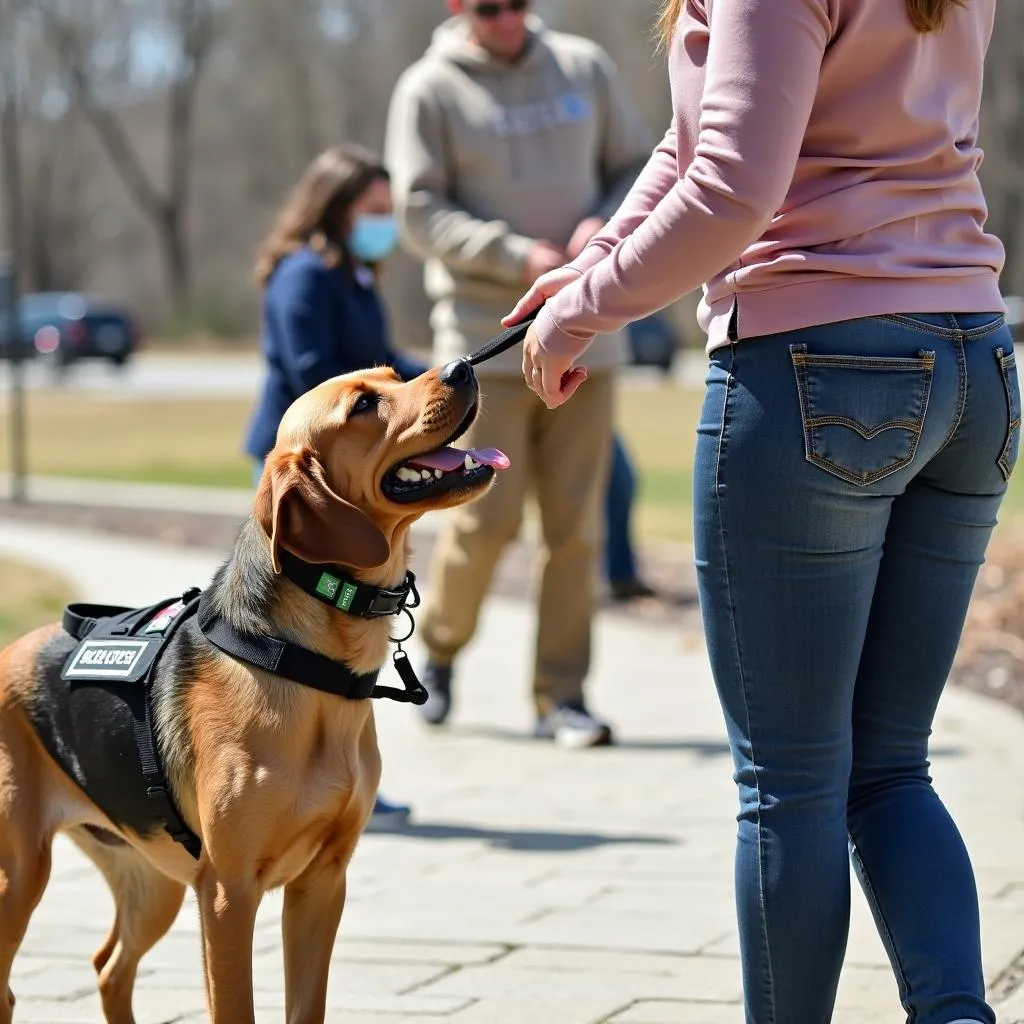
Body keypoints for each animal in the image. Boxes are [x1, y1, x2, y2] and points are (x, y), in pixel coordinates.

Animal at [0, 360, 507, 1024]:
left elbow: (306, 1007)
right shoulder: (227, 893)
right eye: (363, 406)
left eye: (392, 375)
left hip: (152, 879)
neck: (306, 668)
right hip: (22, 872)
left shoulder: (321, 883)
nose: (461, 367)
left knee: (109, 968)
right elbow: (236, 1006)